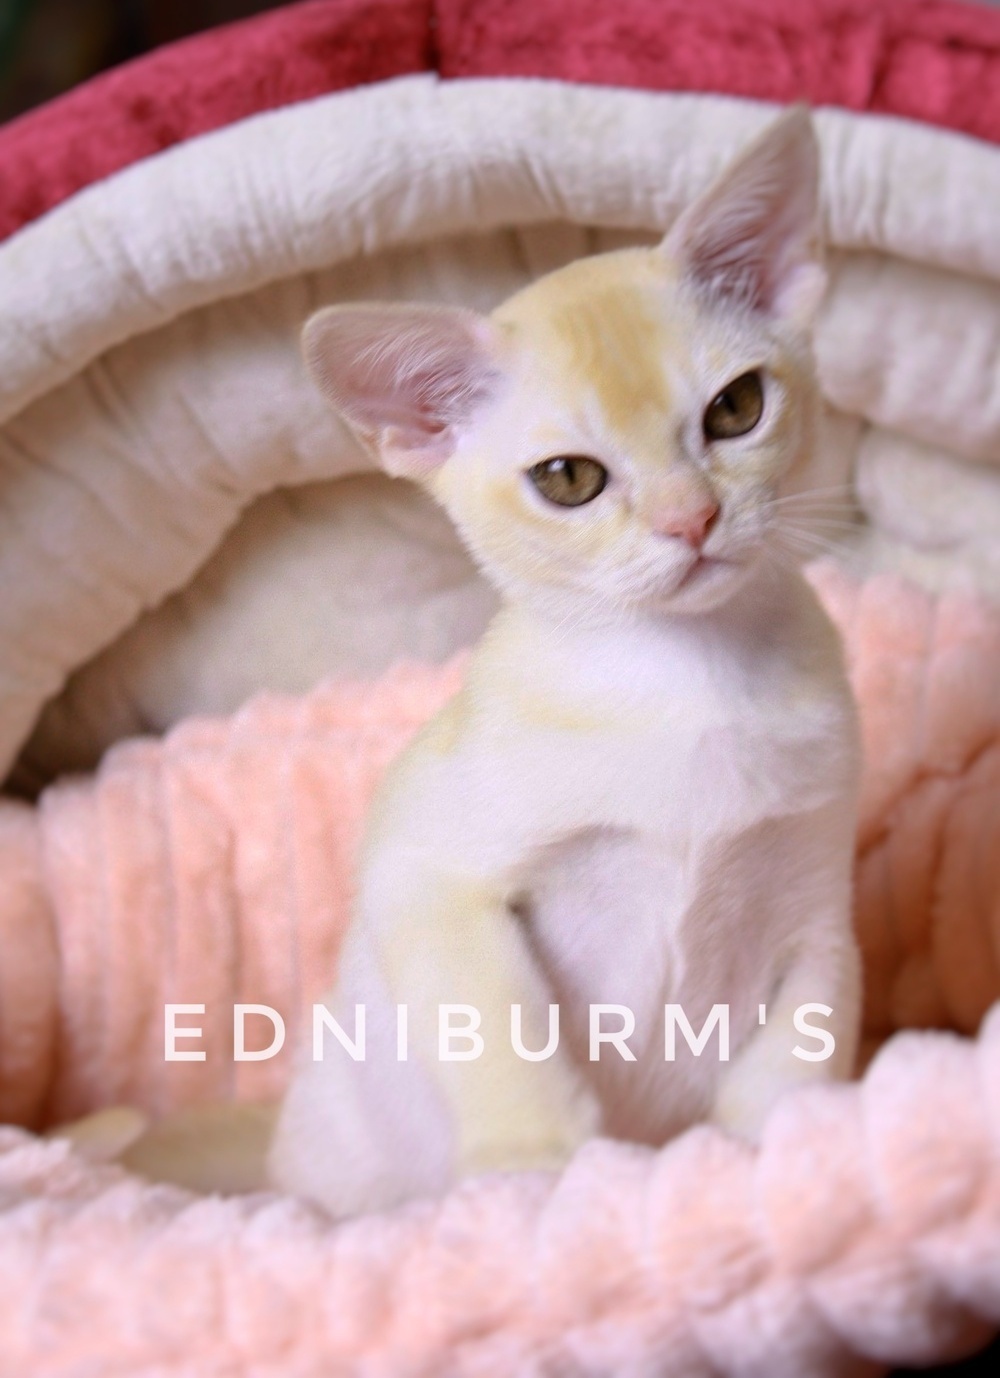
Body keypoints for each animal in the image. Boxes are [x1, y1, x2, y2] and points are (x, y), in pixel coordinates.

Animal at [268, 106, 862, 1219]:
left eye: (735, 410)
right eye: (569, 479)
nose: (691, 518)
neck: (686, 683)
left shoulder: (817, 918)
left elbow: (794, 1063)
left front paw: (779, 1157)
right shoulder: (429, 875)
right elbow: (500, 1029)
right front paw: (536, 1173)